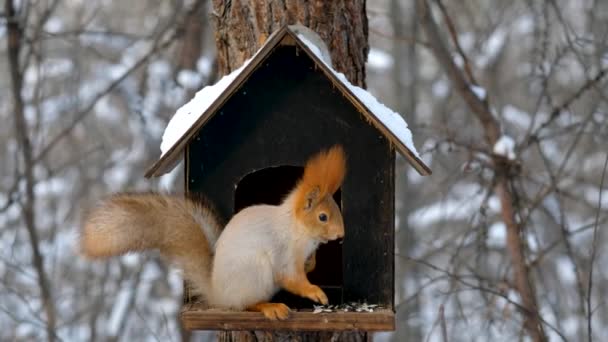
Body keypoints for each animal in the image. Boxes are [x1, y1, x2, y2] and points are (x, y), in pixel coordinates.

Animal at [81, 145, 346, 320]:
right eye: (323, 216)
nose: (341, 235)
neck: (298, 230)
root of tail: (218, 294)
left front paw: (312, 262)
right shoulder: (284, 253)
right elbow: (292, 278)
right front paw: (315, 292)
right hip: (254, 273)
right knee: (245, 304)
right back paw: (271, 307)